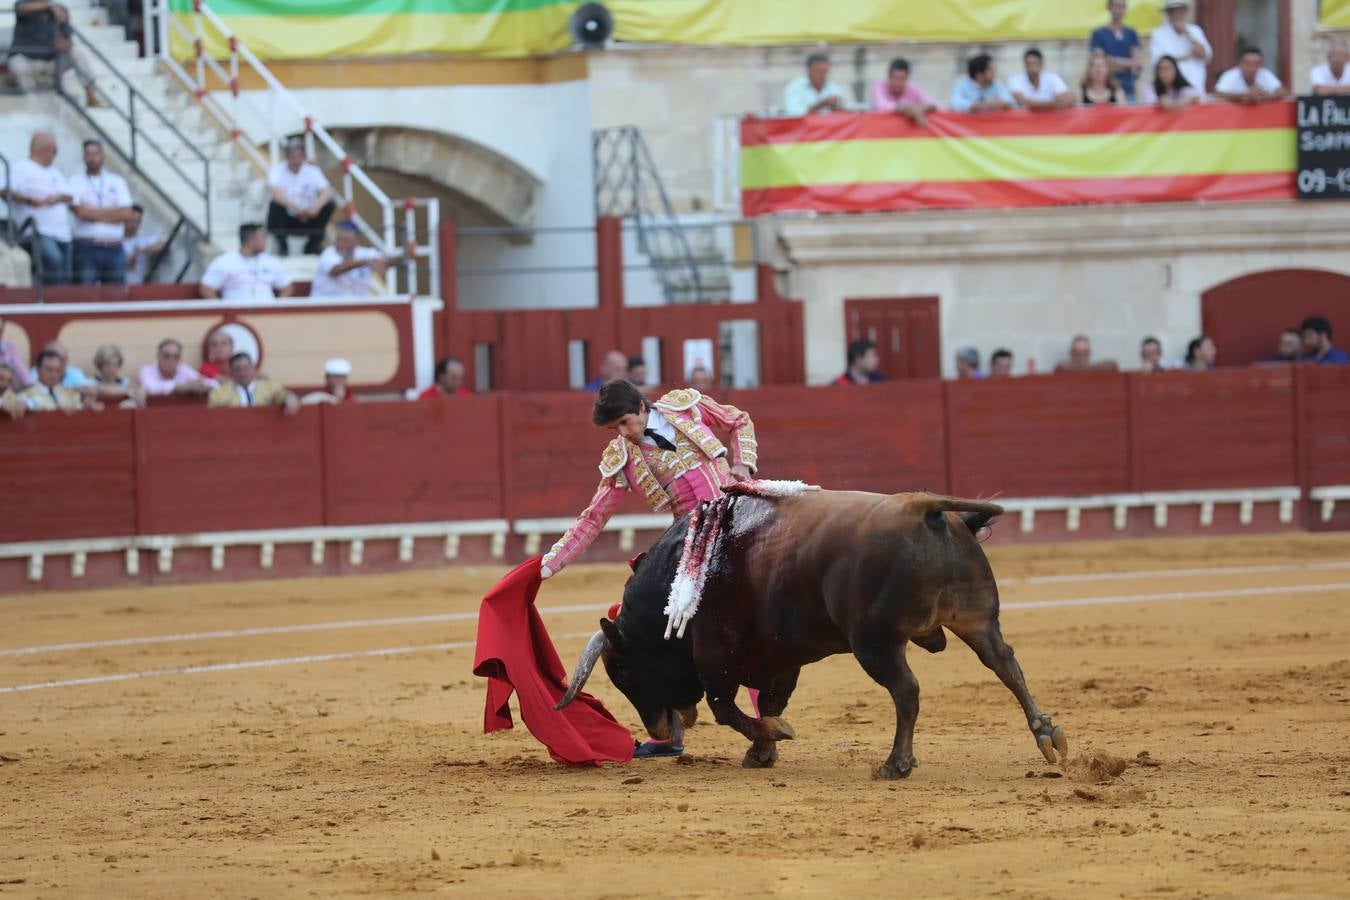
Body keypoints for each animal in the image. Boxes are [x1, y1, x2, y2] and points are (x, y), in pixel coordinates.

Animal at [556, 488, 1063, 777]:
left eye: (623, 672)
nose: (656, 730)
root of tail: (924, 507)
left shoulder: (715, 654)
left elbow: (727, 708)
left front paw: (770, 738)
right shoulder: (782, 657)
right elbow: (771, 700)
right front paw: (763, 749)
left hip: (875, 644)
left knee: (907, 690)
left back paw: (896, 763)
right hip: (976, 619)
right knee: (1005, 663)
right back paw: (1047, 735)